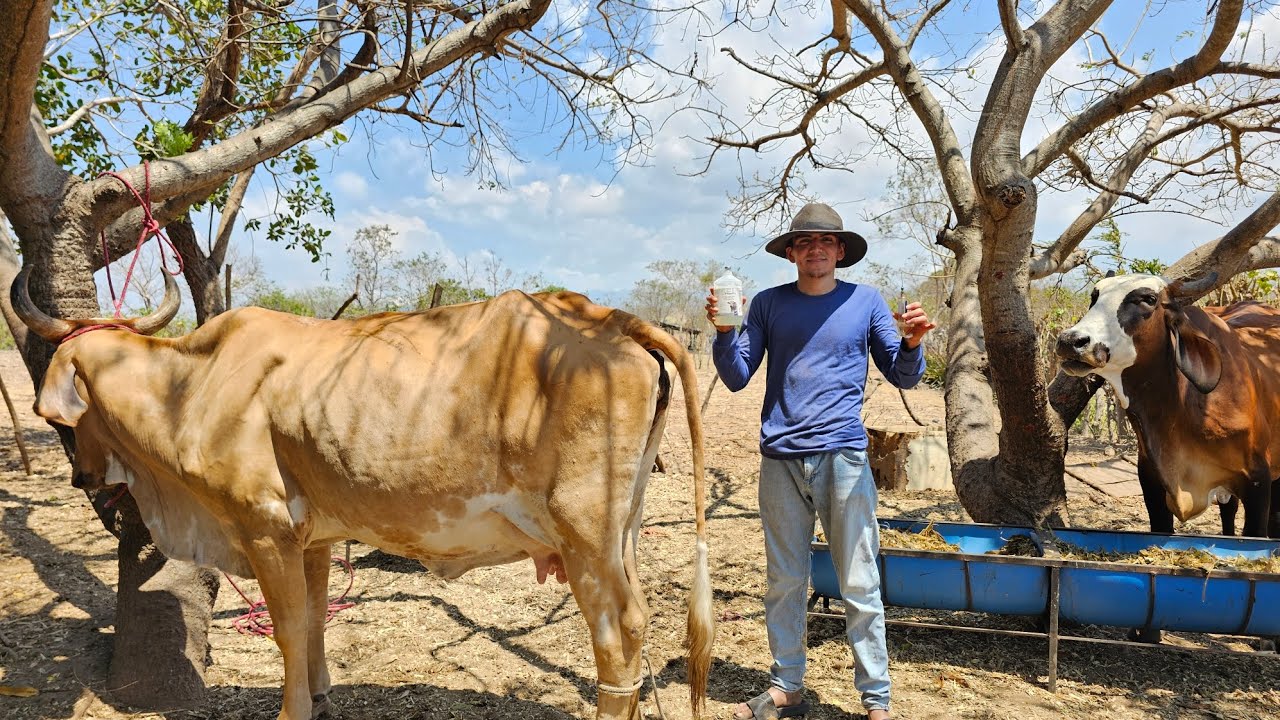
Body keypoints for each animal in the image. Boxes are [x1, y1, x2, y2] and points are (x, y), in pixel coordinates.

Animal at [12, 266, 714, 720]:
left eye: (64, 418)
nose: (82, 478)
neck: (189, 385)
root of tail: (612, 318)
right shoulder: (312, 537)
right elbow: (315, 618)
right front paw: (320, 693)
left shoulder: (265, 527)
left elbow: (288, 628)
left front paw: (292, 710)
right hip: (621, 530)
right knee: (636, 623)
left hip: (584, 531)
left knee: (619, 629)